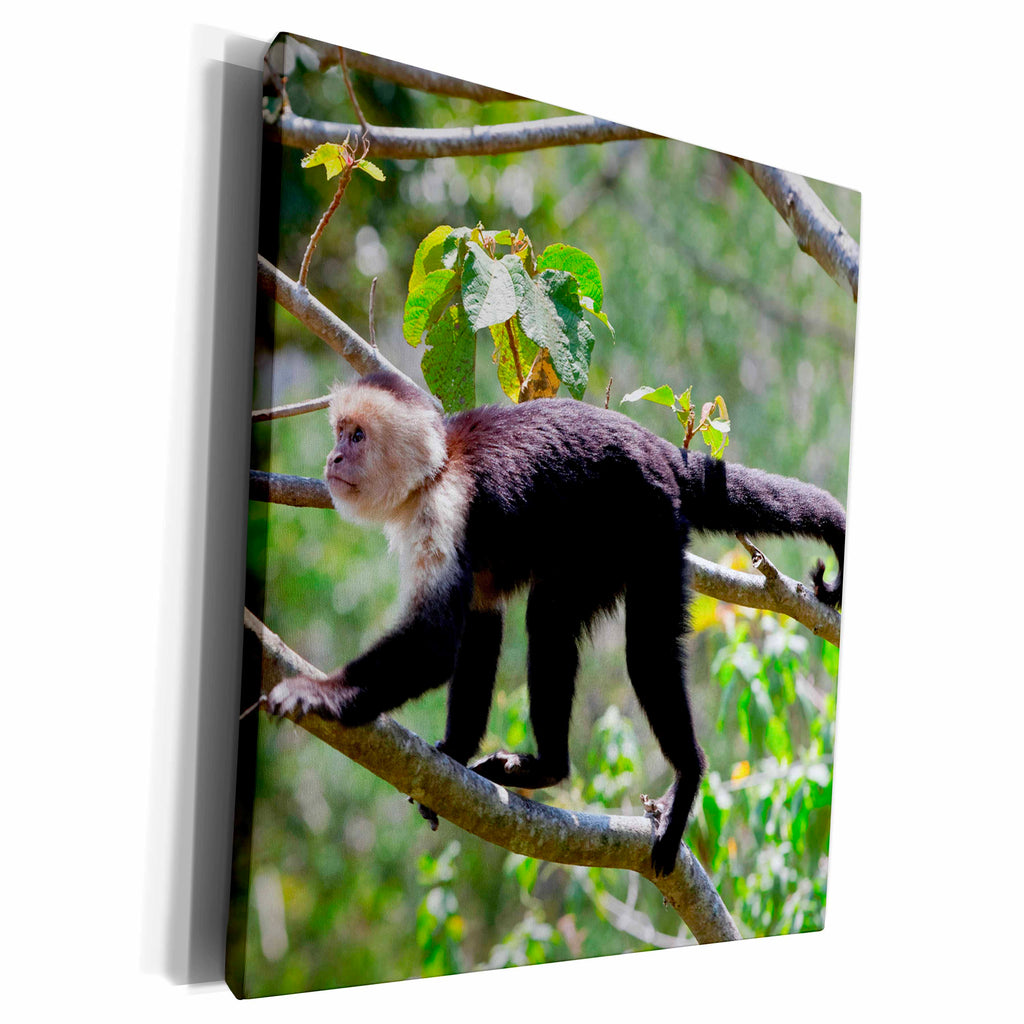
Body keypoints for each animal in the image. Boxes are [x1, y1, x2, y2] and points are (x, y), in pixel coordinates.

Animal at [265, 370, 845, 877]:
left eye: (357, 436)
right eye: (340, 433)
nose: (334, 456)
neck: (438, 466)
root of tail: (664, 451)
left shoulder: (445, 509)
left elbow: (434, 643)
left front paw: (321, 693)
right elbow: (478, 624)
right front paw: (454, 752)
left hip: (651, 521)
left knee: (637, 650)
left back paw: (674, 773)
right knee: (553, 615)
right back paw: (548, 766)